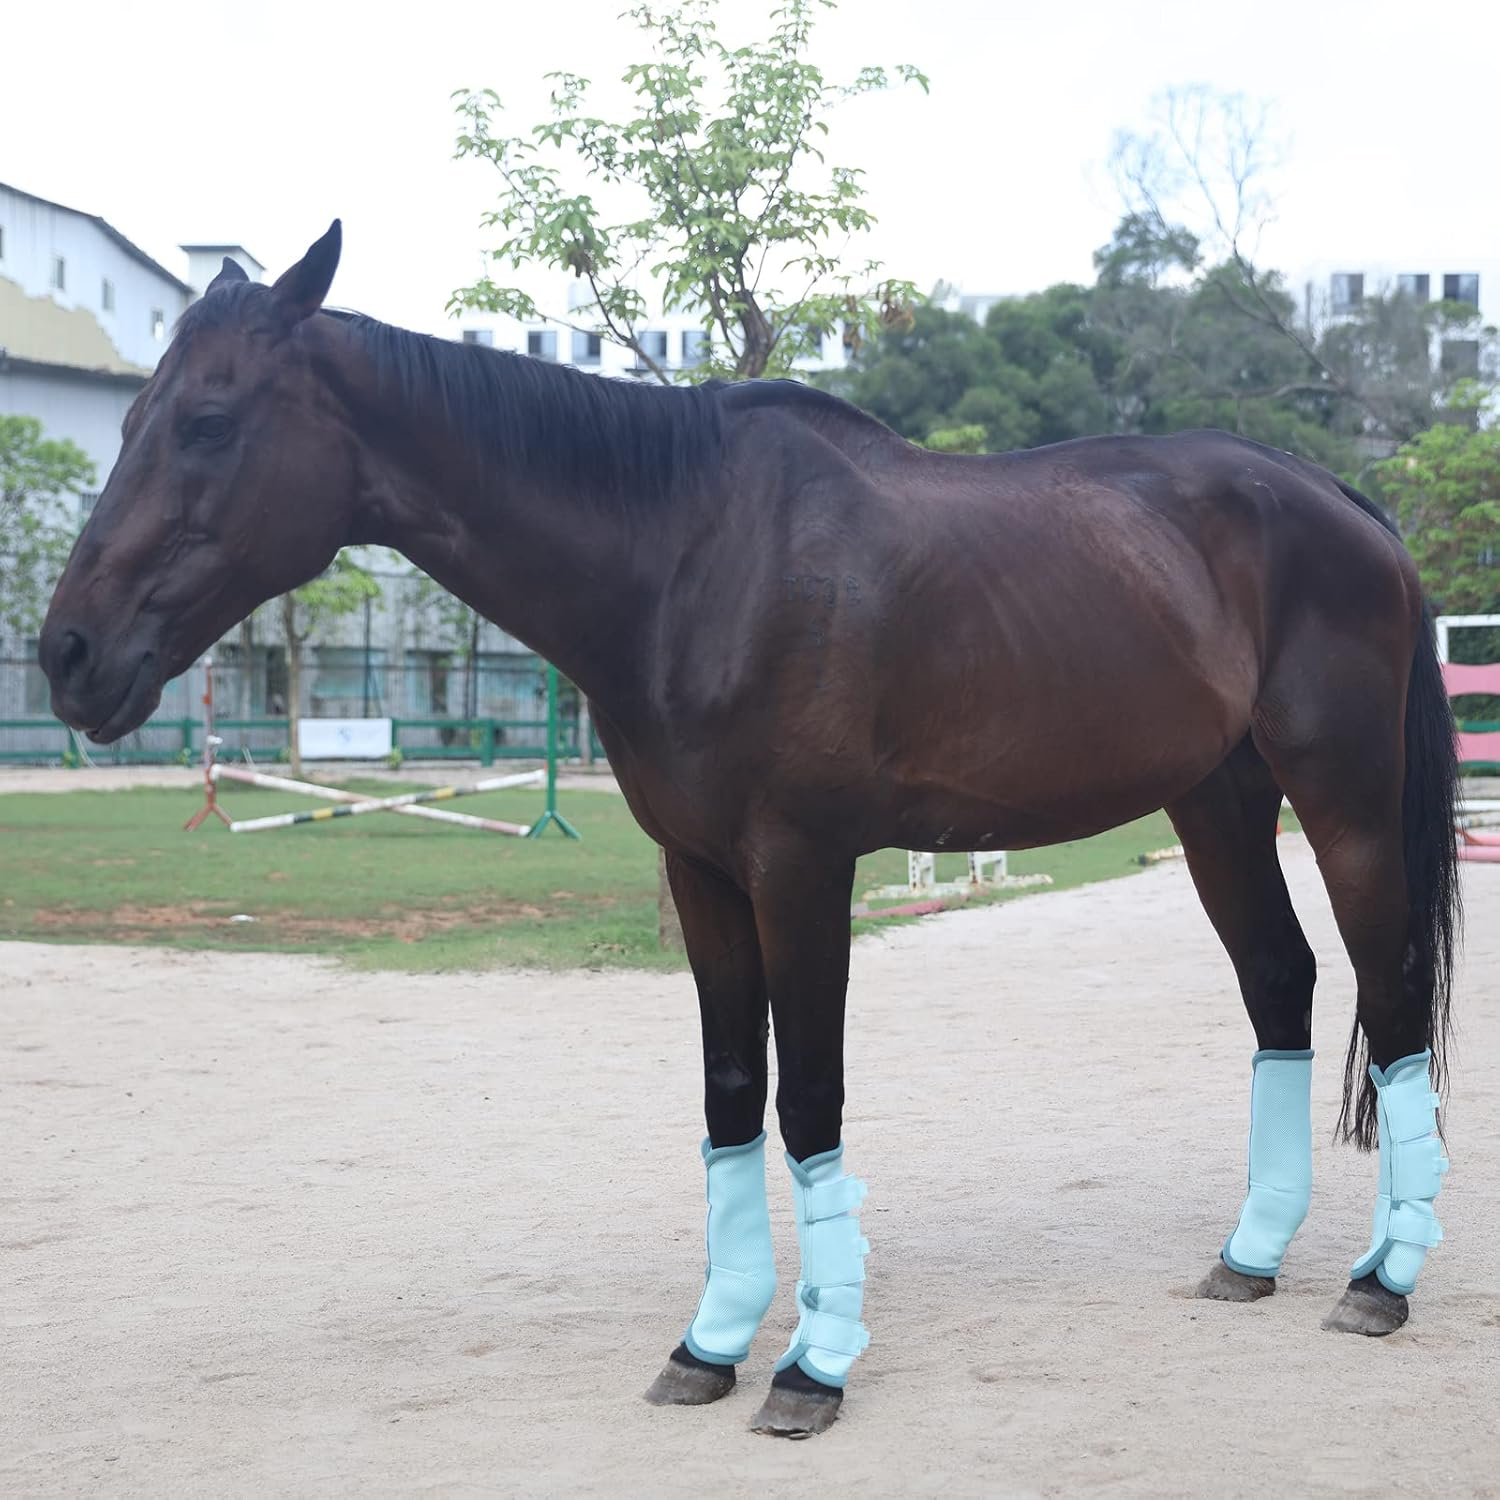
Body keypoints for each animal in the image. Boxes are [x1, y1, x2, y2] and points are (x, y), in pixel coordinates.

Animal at [40, 224, 1459, 1438]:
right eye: (132, 418)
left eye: (209, 421)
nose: (69, 655)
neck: (689, 556)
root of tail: (1339, 498)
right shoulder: (703, 872)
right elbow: (731, 1094)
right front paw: (709, 1345)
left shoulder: (802, 868)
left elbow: (809, 1097)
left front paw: (811, 1367)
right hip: (1217, 804)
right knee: (1281, 984)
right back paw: (1251, 1257)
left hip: (1340, 800)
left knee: (1389, 996)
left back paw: (1378, 1283)